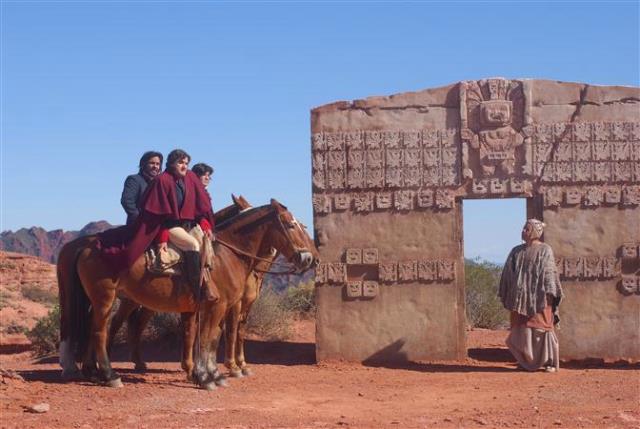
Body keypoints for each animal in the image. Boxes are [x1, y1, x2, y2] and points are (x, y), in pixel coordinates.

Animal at [59, 199, 318, 390]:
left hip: (100, 300)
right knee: (100, 331)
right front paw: (209, 376)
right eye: (291, 225)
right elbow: (209, 338)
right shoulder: (220, 306)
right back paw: (109, 375)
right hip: (105, 299)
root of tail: (87, 246)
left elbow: (204, 337)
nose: (308, 258)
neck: (227, 256)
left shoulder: (204, 308)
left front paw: (207, 373)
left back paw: (94, 371)